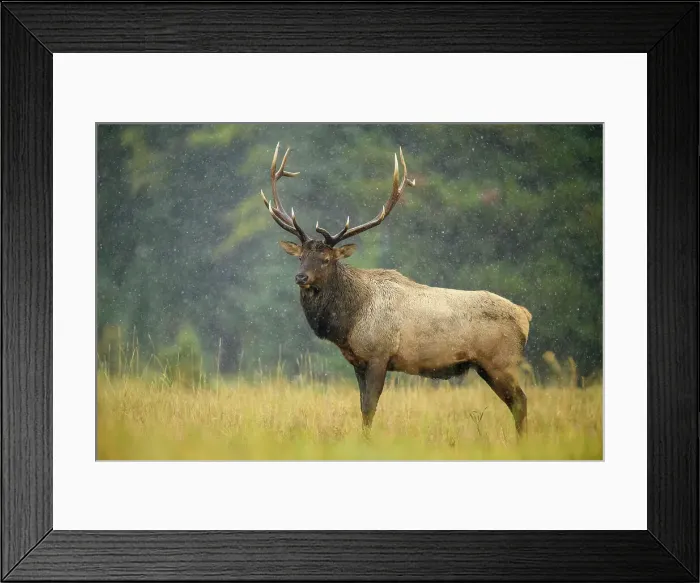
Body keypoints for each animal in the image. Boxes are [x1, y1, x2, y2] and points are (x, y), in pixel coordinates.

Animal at [260, 143, 532, 436]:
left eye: (326, 259)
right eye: (300, 257)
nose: (301, 277)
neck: (349, 322)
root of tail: (525, 315)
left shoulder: (379, 354)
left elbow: (370, 407)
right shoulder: (358, 361)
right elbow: (362, 407)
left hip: (500, 361)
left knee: (520, 401)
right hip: (487, 366)